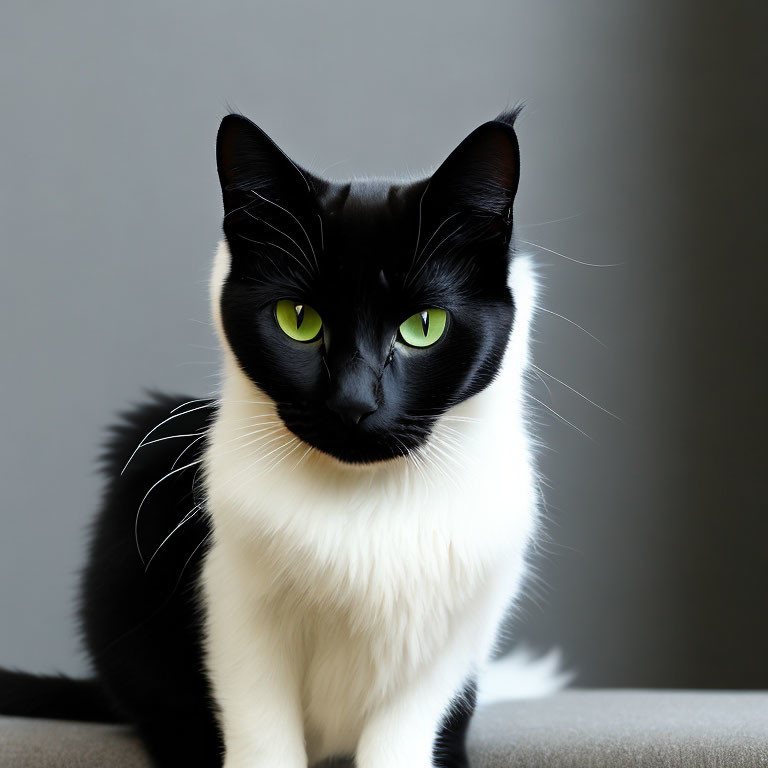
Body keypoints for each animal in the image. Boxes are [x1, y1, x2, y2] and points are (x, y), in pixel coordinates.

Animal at [0, 111, 560, 764]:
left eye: (424, 326)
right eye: (299, 320)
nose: (354, 404)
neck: (363, 505)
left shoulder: (450, 635)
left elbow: (405, 731)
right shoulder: (238, 607)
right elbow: (261, 732)